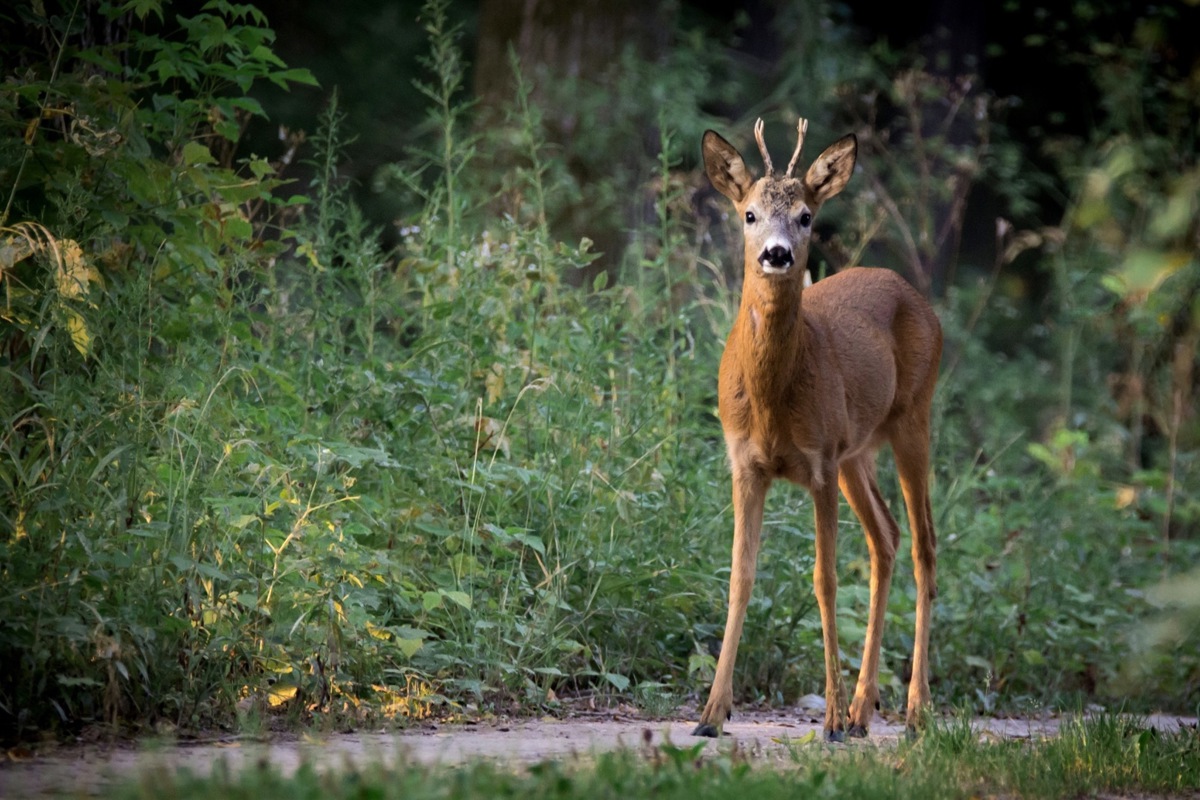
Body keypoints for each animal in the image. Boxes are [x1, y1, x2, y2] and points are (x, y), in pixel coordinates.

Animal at [700, 115, 940, 743]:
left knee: (924, 546)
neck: (772, 402)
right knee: (887, 537)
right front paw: (710, 713)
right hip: (859, 451)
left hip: (913, 417)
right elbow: (740, 577)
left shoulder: (820, 461)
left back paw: (913, 709)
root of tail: (914, 293)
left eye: (806, 215)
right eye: (749, 214)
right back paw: (862, 709)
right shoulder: (745, 463)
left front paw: (827, 718)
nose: (778, 254)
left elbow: (825, 580)